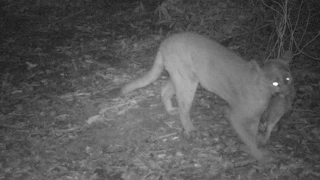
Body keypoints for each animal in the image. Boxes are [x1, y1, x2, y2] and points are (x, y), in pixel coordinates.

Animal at [109, 32, 292, 160]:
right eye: (275, 82)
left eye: (288, 79)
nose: (286, 91)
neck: (264, 92)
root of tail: (166, 41)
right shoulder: (237, 115)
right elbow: (247, 136)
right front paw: (259, 156)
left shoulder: (255, 117)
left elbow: (252, 134)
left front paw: (256, 148)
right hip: (187, 80)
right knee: (183, 107)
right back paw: (190, 130)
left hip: (180, 76)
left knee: (164, 89)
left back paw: (170, 110)